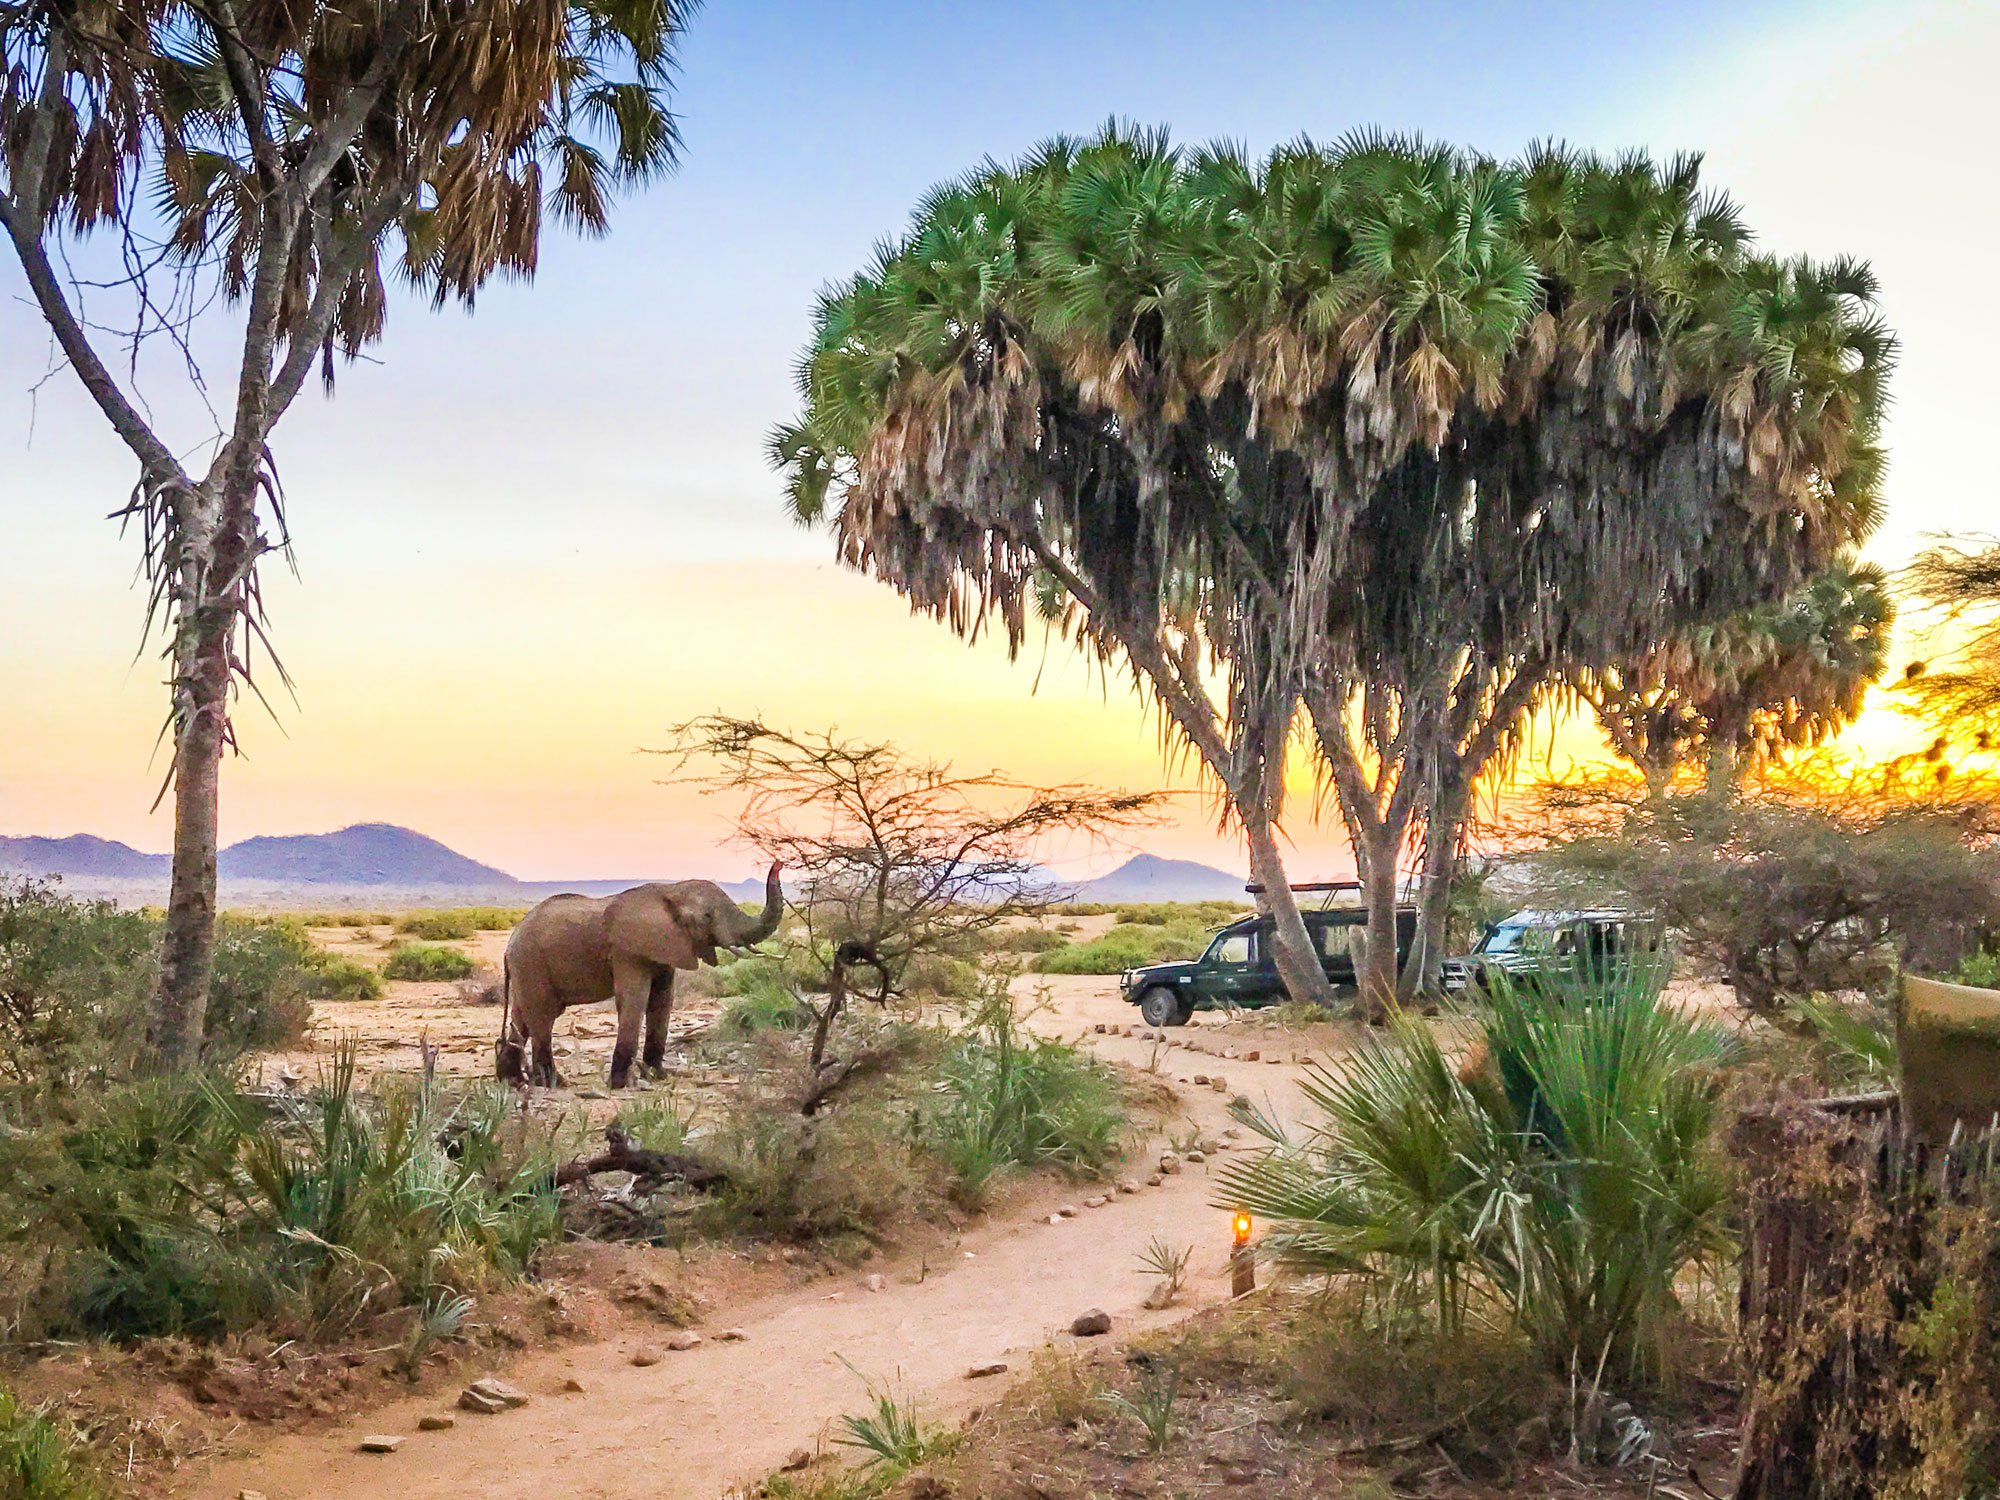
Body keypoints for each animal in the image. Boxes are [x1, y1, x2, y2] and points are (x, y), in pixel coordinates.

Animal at [500, 864, 780, 1088]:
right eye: (707, 916)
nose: (778, 864)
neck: (670, 891)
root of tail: (509, 945)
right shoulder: (627, 951)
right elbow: (635, 999)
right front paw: (621, 1084)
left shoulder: (666, 947)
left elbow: (662, 1001)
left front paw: (657, 1076)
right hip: (531, 962)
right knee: (543, 1017)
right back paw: (552, 1083)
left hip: (526, 968)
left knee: (521, 1017)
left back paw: (512, 1081)